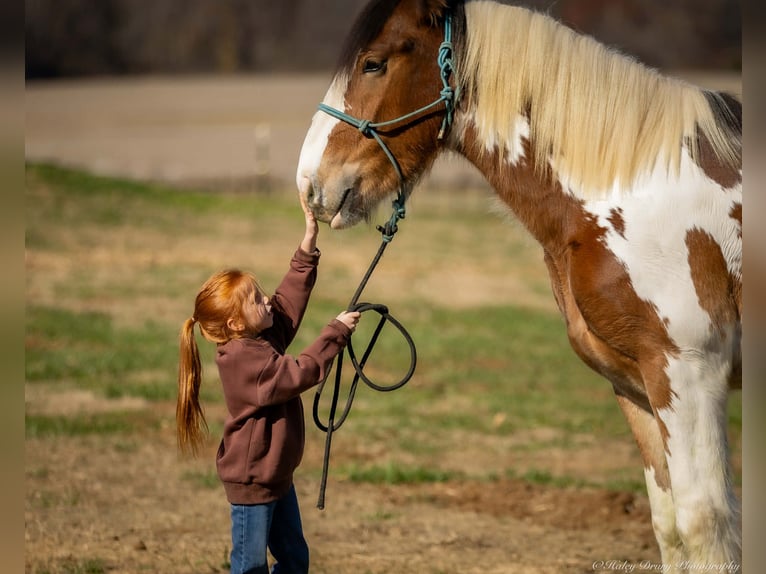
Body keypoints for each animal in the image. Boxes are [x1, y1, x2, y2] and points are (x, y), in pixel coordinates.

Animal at [296, 1, 742, 570]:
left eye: (373, 63)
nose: (310, 184)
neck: (633, 189)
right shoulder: (635, 384)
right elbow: (669, 526)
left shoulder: (690, 373)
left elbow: (703, 522)